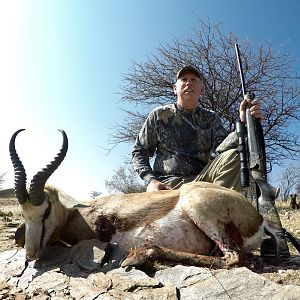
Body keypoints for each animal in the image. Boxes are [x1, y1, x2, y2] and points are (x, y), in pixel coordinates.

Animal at [9, 129, 280, 268]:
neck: (78, 213)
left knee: (235, 258)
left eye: (45, 210)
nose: (31, 254)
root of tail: (258, 218)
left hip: (200, 210)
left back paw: (138, 256)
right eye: (23, 213)